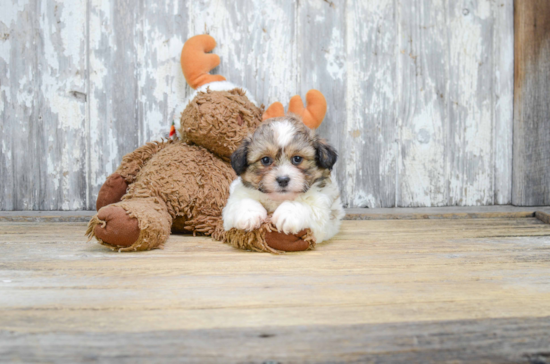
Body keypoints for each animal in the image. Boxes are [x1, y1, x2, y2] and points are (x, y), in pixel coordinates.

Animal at [221, 115, 342, 243]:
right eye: (265, 160)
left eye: (297, 159)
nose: (283, 180)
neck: (278, 199)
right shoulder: (233, 203)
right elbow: (240, 202)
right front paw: (249, 213)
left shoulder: (323, 215)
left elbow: (308, 207)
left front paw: (288, 213)